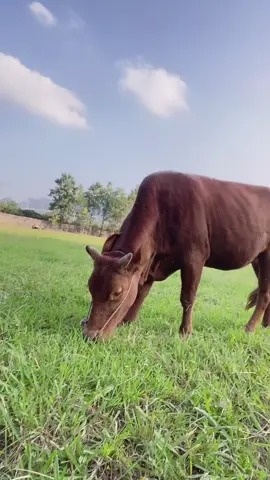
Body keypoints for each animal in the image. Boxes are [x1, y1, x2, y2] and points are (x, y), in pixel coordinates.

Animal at [81, 172, 270, 342]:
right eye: (90, 287)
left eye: (117, 292)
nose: (90, 336)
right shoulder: (151, 263)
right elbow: (141, 293)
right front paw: (127, 321)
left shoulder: (195, 257)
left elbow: (187, 297)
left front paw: (185, 332)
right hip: (257, 261)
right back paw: (265, 325)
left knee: (264, 294)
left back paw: (250, 328)